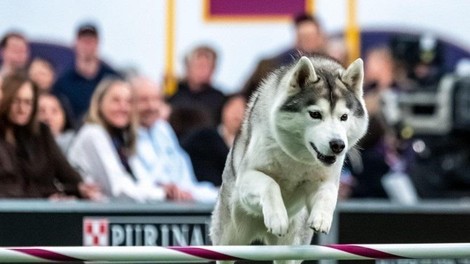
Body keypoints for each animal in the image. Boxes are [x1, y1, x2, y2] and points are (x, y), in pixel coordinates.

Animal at [211, 54, 370, 262]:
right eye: (315, 114)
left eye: (344, 117)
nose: (337, 145)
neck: (298, 158)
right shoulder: (246, 178)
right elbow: (270, 184)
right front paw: (277, 217)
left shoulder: (326, 178)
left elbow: (328, 193)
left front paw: (322, 218)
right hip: (229, 239)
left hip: (290, 247)